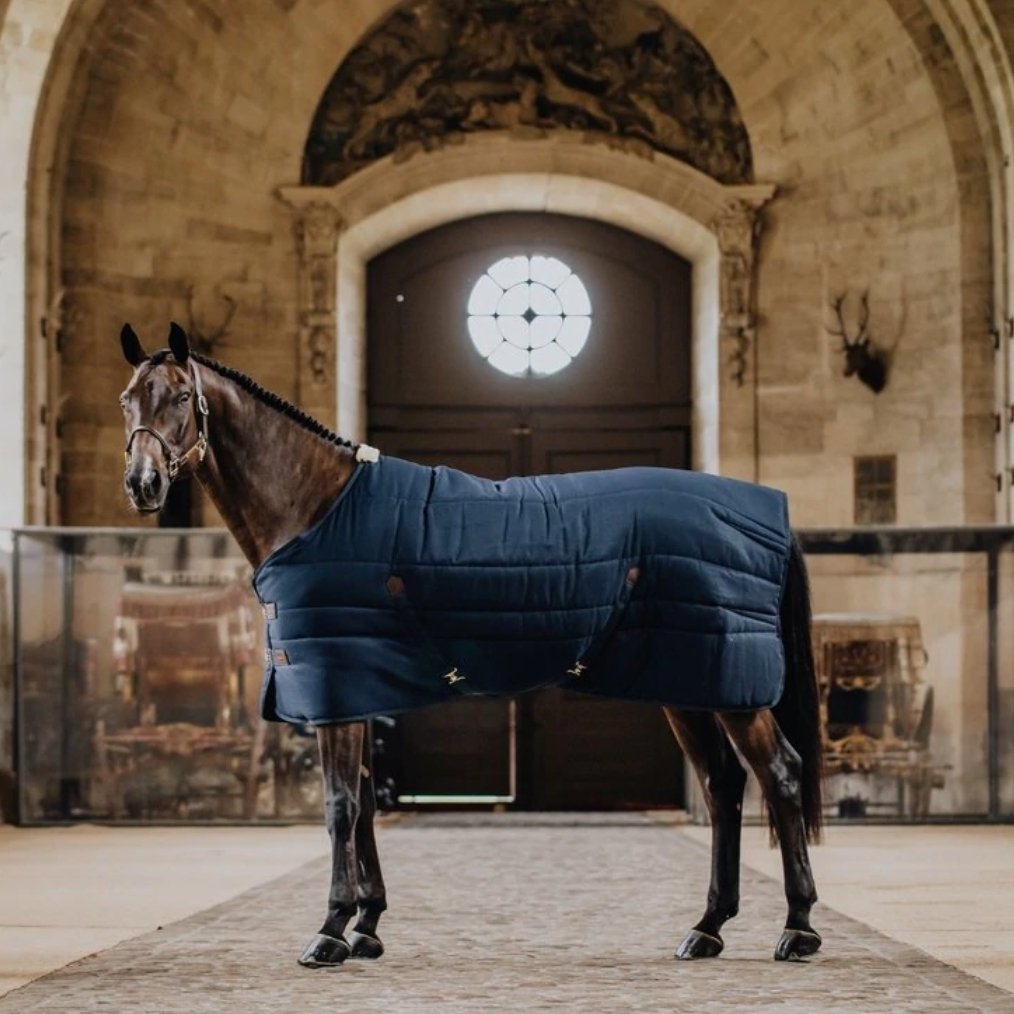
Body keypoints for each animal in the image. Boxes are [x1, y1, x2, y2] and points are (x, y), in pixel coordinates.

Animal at [117, 321, 823, 966]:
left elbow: (340, 806)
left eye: (181, 396)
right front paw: (368, 925)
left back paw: (798, 927)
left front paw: (331, 929)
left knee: (781, 776)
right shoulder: (358, 692)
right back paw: (708, 928)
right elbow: (366, 805)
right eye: (127, 399)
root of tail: (767, 511)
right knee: (724, 786)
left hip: (730, 689)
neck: (315, 506)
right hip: (690, 682)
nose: (142, 484)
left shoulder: (335, 690)